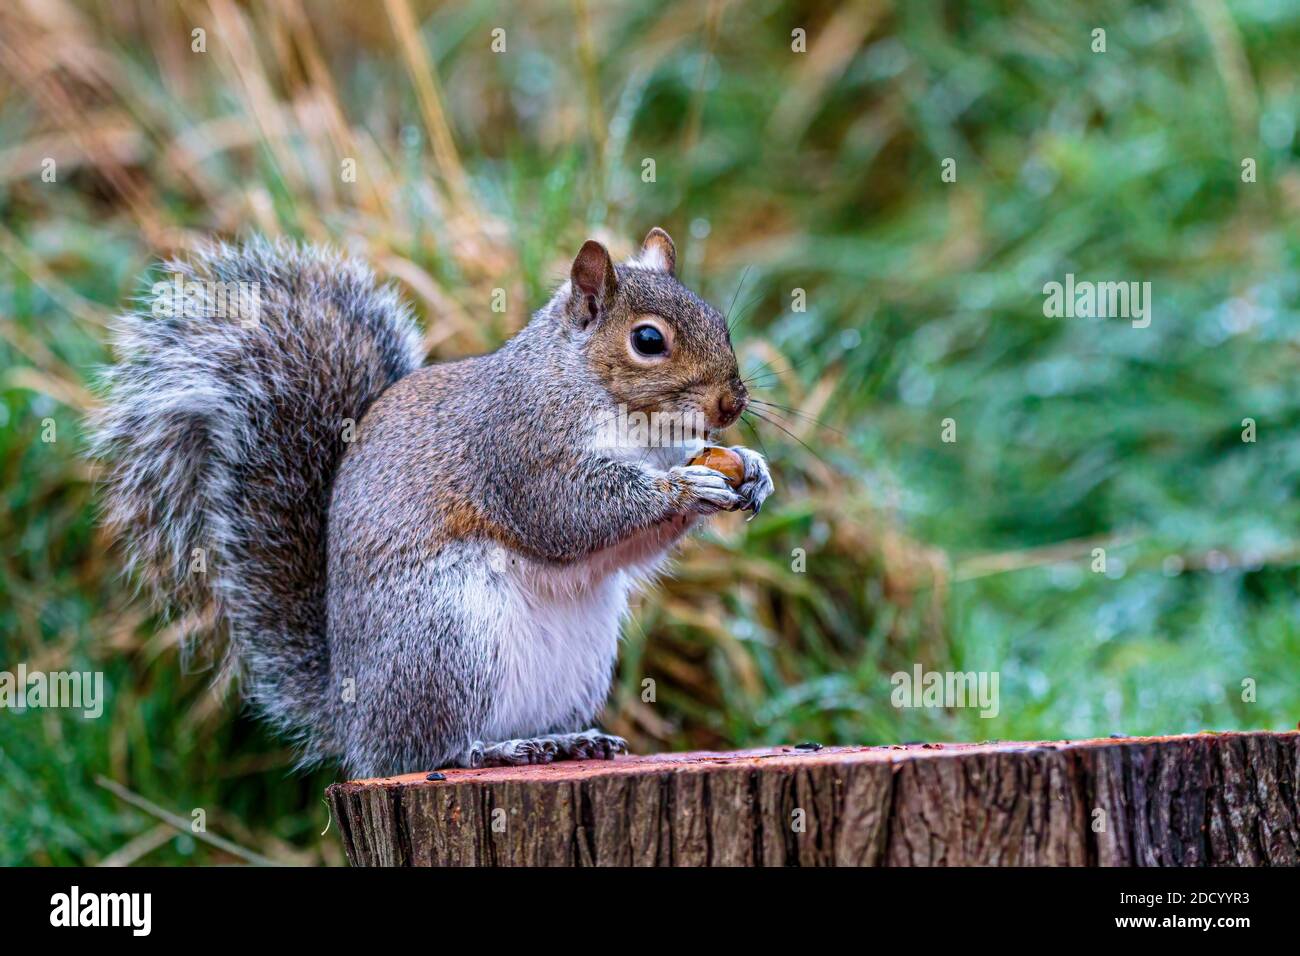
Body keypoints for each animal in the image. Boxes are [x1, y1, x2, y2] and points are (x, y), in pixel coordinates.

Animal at [91, 228, 773, 778]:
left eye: (720, 320)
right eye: (648, 340)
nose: (731, 404)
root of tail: (352, 718)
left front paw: (751, 470)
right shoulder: (519, 449)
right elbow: (568, 516)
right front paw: (686, 487)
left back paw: (567, 740)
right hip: (446, 636)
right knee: (426, 749)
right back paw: (493, 750)